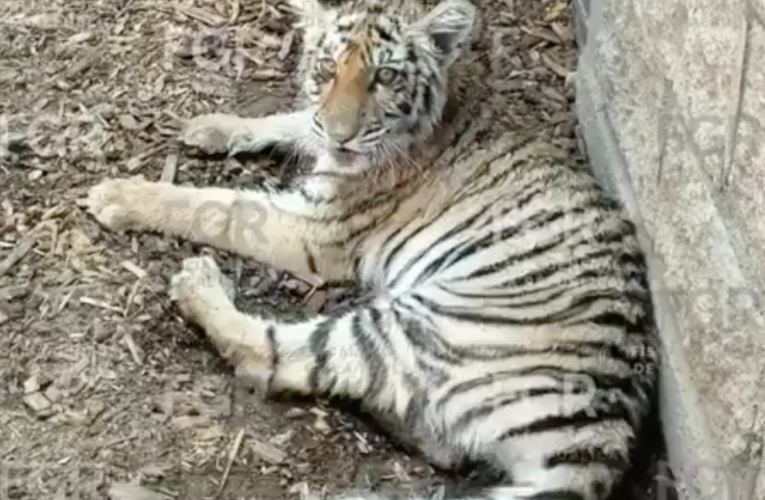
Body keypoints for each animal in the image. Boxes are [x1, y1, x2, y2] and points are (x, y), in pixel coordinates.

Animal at [85, 0, 660, 499]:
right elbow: (296, 119)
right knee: (443, 444)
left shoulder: (317, 228)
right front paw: (213, 126)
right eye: (326, 68)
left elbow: (216, 206)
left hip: (421, 323)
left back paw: (198, 285)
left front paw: (119, 195)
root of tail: (604, 434)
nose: (343, 136)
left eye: (385, 77)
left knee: (279, 356)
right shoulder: (320, 138)